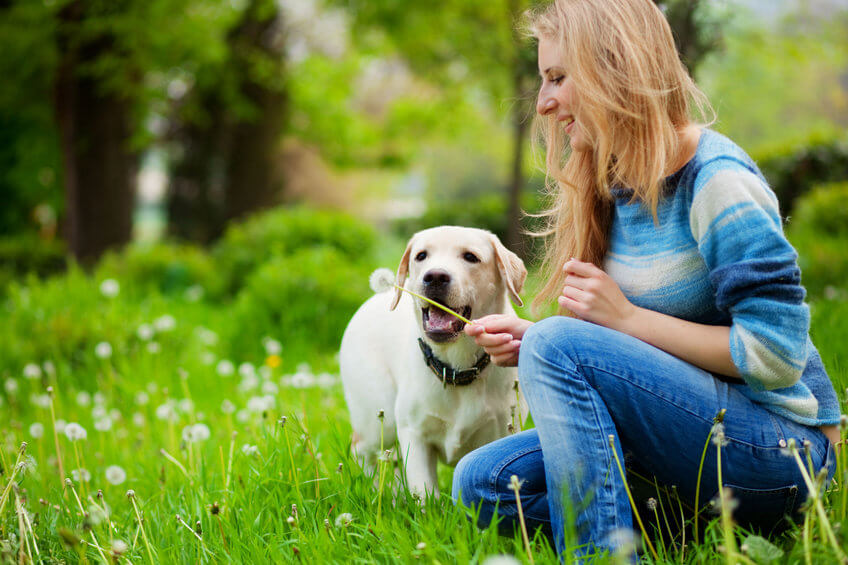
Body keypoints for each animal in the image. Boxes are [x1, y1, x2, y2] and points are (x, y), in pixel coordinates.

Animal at [340, 225, 528, 494]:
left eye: (470, 257)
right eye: (421, 256)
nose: (435, 277)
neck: (457, 368)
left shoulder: (504, 431)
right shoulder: (414, 434)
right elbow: (424, 493)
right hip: (379, 420)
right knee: (361, 449)